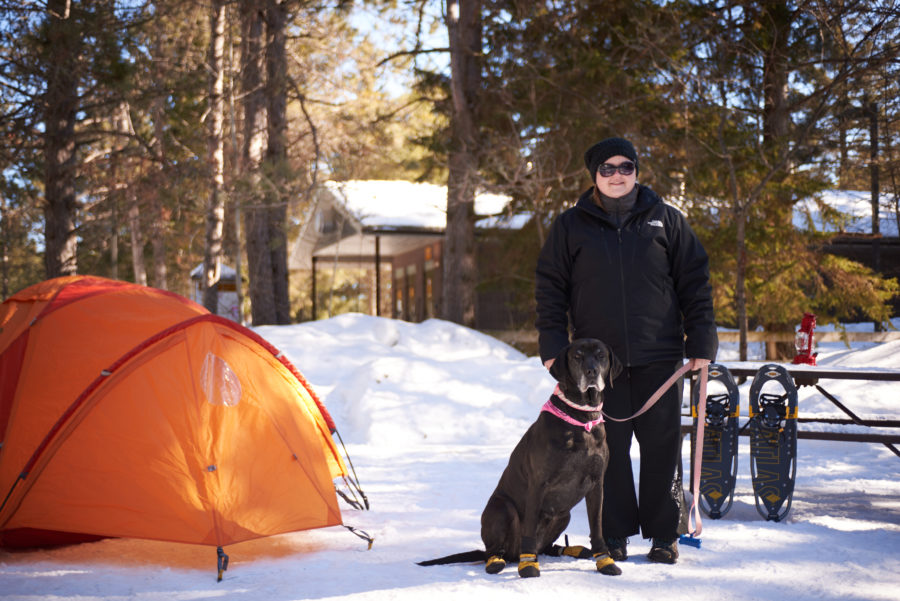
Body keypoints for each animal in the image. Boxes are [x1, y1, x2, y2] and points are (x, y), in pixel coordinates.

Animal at [418, 338, 624, 576]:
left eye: (601, 356)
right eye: (577, 356)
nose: (591, 371)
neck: (582, 418)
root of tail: (511, 554)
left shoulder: (596, 484)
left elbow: (597, 527)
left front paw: (605, 561)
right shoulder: (538, 483)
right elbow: (530, 530)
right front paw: (528, 565)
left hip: (564, 515)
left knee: (547, 546)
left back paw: (568, 550)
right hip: (502, 508)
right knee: (495, 550)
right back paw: (497, 561)